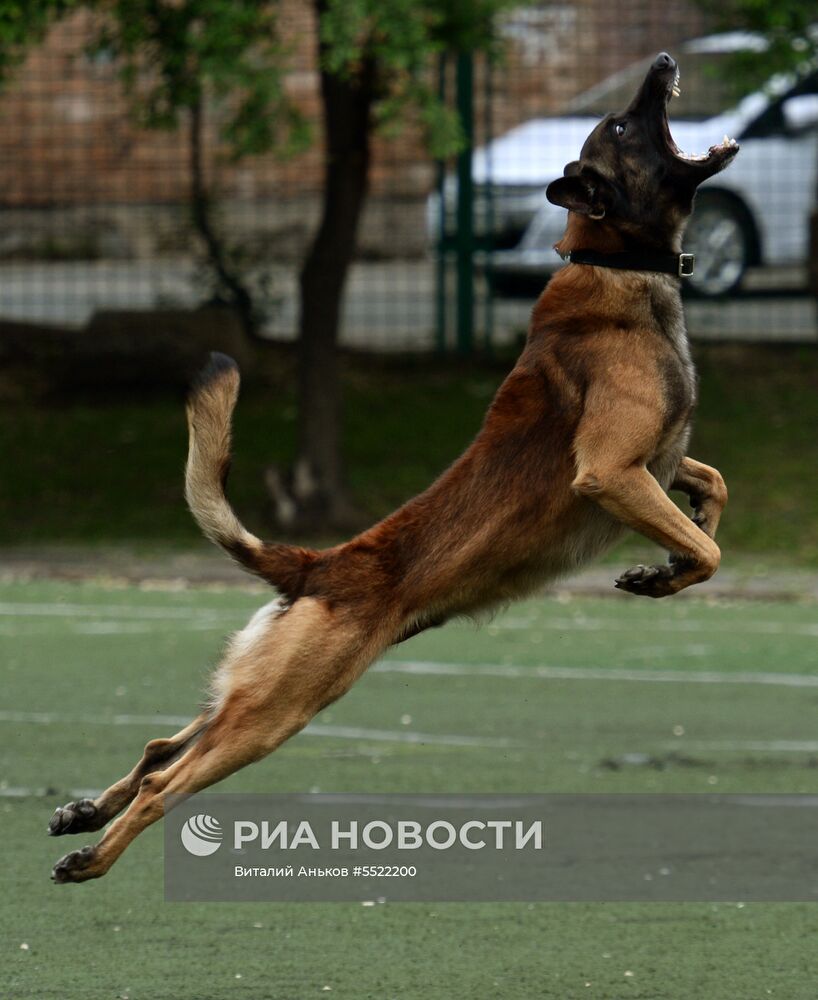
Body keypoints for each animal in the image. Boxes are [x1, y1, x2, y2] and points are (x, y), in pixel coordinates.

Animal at [52, 52, 740, 884]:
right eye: (620, 126)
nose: (665, 62)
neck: (614, 266)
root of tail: (317, 565)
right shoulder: (610, 471)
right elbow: (709, 548)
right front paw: (671, 565)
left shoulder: (655, 466)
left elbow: (710, 491)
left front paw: (663, 566)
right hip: (279, 710)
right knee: (165, 782)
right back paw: (92, 855)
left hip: (254, 695)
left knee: (163, 744)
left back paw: (85, 812)